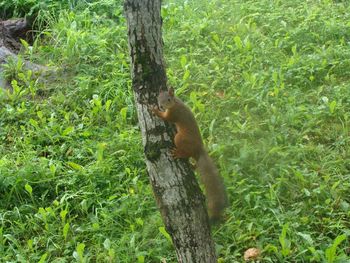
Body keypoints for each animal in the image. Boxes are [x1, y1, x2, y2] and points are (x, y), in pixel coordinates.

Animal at [152, 88, 228, 221]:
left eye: (168, 99)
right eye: (158, 97)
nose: (161, 106)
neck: (176, 103)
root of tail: (199, 150)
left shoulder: (174, 113)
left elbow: (166, 118)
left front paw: (155, 110)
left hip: (179, 138)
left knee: (186, 153)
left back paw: (179, 154)